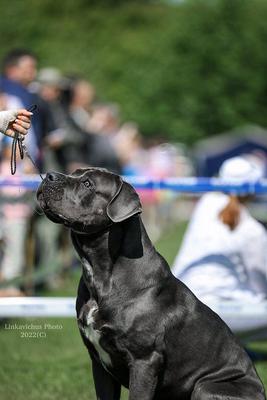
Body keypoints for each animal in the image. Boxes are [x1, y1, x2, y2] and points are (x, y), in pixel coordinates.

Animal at [37, 166, 266, 400]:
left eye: (88, 184)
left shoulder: (144, 360)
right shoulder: (99, 364)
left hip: (206, 387)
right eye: (74, 173)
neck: (101, 274)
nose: (49, 176)